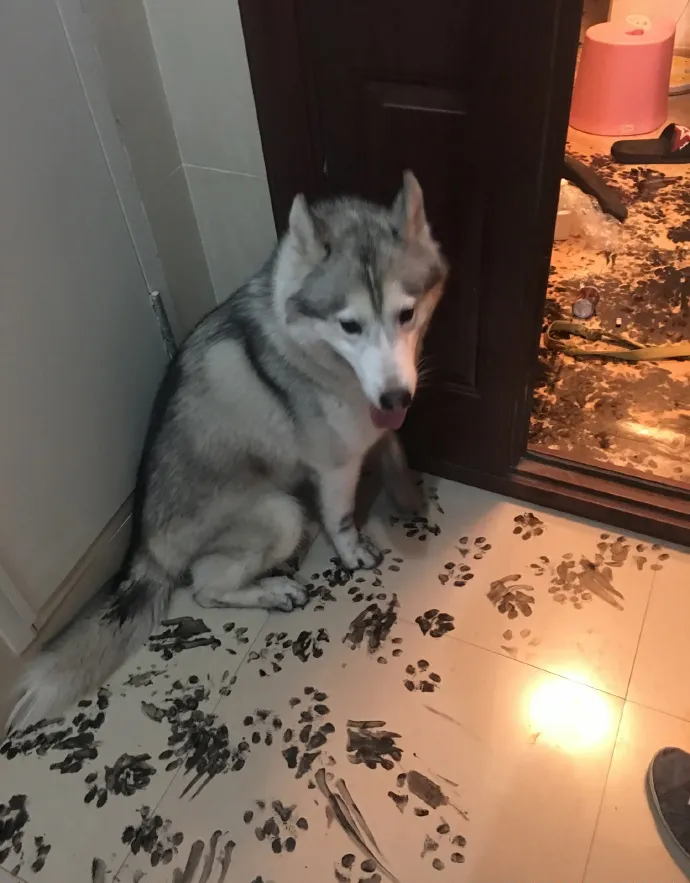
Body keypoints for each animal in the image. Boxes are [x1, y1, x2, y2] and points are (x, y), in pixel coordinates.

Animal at [9, 171, 446, 732]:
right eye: (349, 325)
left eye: (406, 314)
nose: (396, 398)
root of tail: (144, 551)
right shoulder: (335, 464)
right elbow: (344, 518)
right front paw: (353, 553)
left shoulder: (374, 416)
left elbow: (393, 446)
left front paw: (407, 491)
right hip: (280, 514)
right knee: (205, 586)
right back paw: (275, 591)